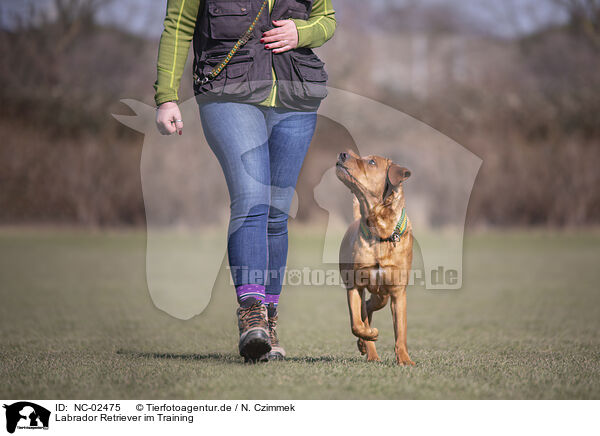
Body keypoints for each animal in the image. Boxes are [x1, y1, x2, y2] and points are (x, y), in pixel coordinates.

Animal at [336, 150, 414, 364]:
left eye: (371, 162)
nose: (343, 153)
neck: (381, 232)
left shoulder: (398, 292)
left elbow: (401, 331)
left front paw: (405, 360)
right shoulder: (355, 285)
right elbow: (357, 324)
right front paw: (370, 336)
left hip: (383, 296)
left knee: (369, 307)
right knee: (364, 313)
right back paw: (369, 349)